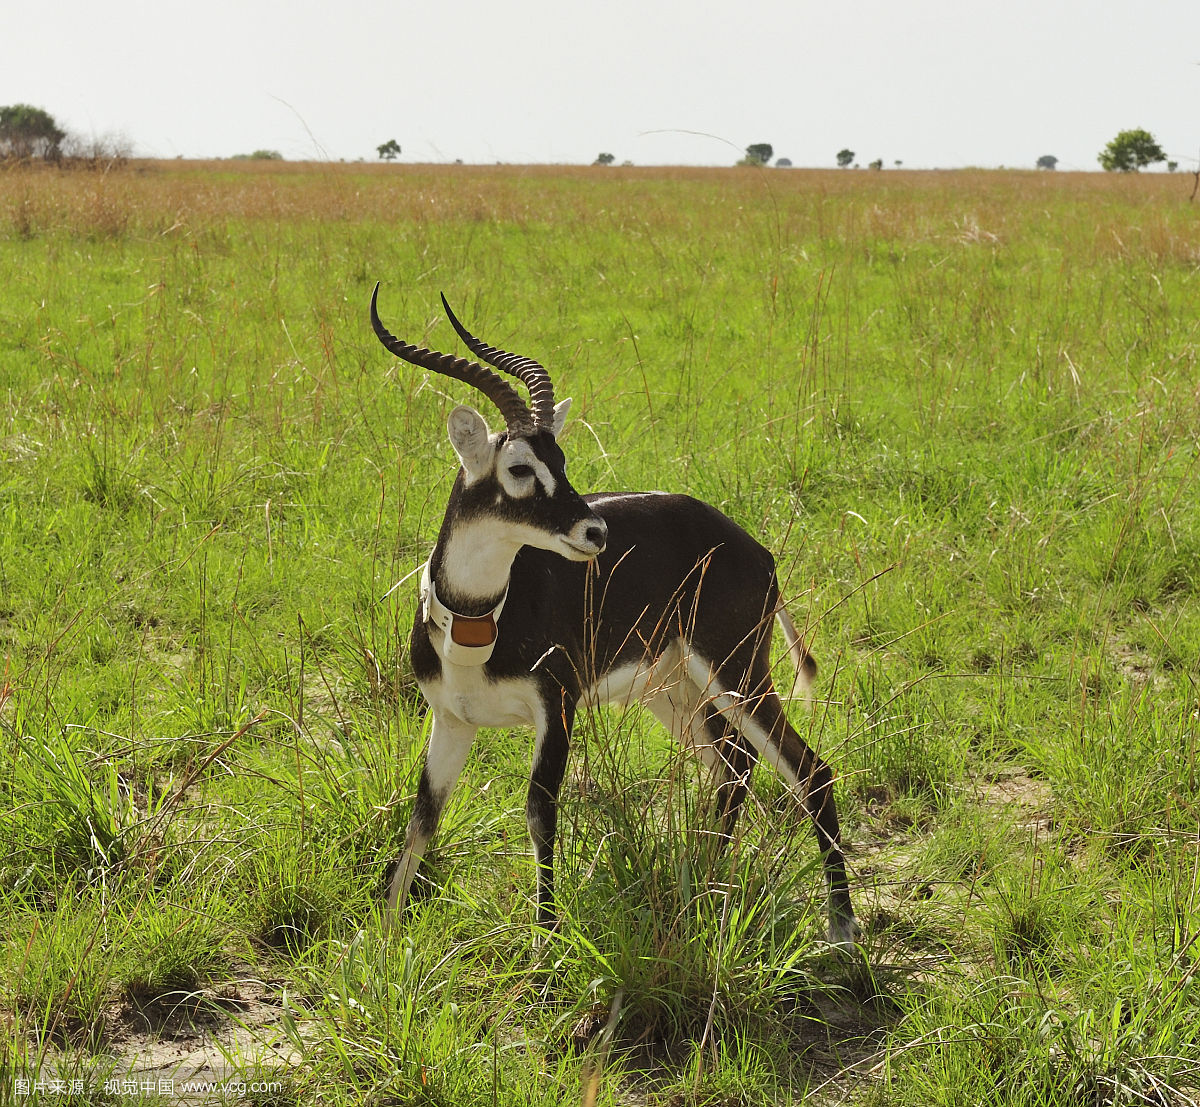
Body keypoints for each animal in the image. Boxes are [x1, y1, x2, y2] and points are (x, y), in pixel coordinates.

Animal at [369, 282, 859, 941]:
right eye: (519, 467)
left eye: (562, 460)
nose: (594, 531)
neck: (478, 621)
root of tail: (756, 550)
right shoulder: (450, 719)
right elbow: (423, 815)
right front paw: (384, 937)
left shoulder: (557, 707)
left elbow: (540, 812)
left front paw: (547, 942)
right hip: (672, 689)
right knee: (733, 766)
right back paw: (707, 887)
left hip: (735, 673)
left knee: (809, 771)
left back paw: (841, 927)